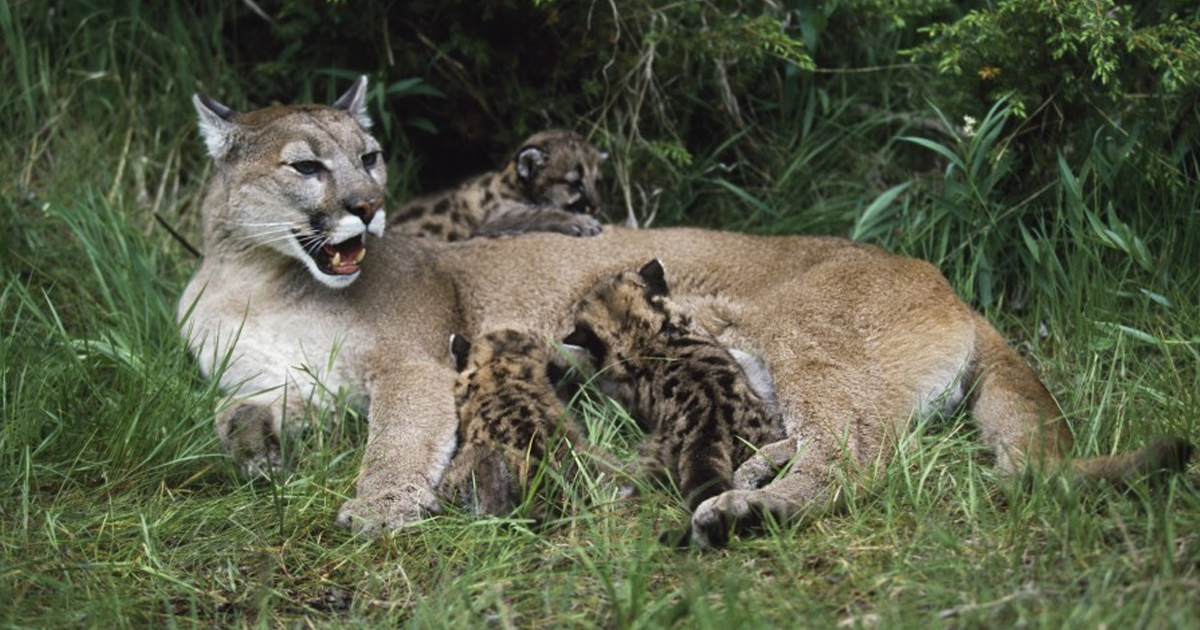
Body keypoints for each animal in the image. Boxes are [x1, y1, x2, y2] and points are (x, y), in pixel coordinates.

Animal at [180, 77, 1190, 540]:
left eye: (371, 155)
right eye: (307, 165)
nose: (370, 205)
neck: (254, 276)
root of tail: (945, 280)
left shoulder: (416, 366)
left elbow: (397, 437)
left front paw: (379, 506)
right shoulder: (285, 380)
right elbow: (238, 409)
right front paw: (256, 451)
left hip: (784, 327)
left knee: (860, 451)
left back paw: (748, 509)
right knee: (820, 432)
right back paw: (750, 475)